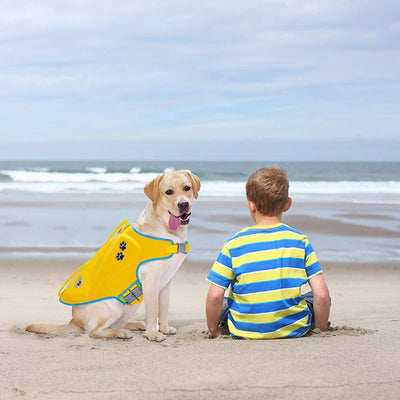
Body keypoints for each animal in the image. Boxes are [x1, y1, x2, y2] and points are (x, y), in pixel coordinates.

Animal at [25, 170, 200, 342]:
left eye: (187, 188)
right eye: (168, 192)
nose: (183, 204)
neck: (168, 230)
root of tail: (74, 321)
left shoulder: (166, 282)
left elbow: (163, 308)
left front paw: (163, 328)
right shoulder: (151, 279)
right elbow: (152, 311)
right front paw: (153, 333)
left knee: (117, 324)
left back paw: (136, 325)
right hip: (112, 307)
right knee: (94, 332)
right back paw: (121, 332)